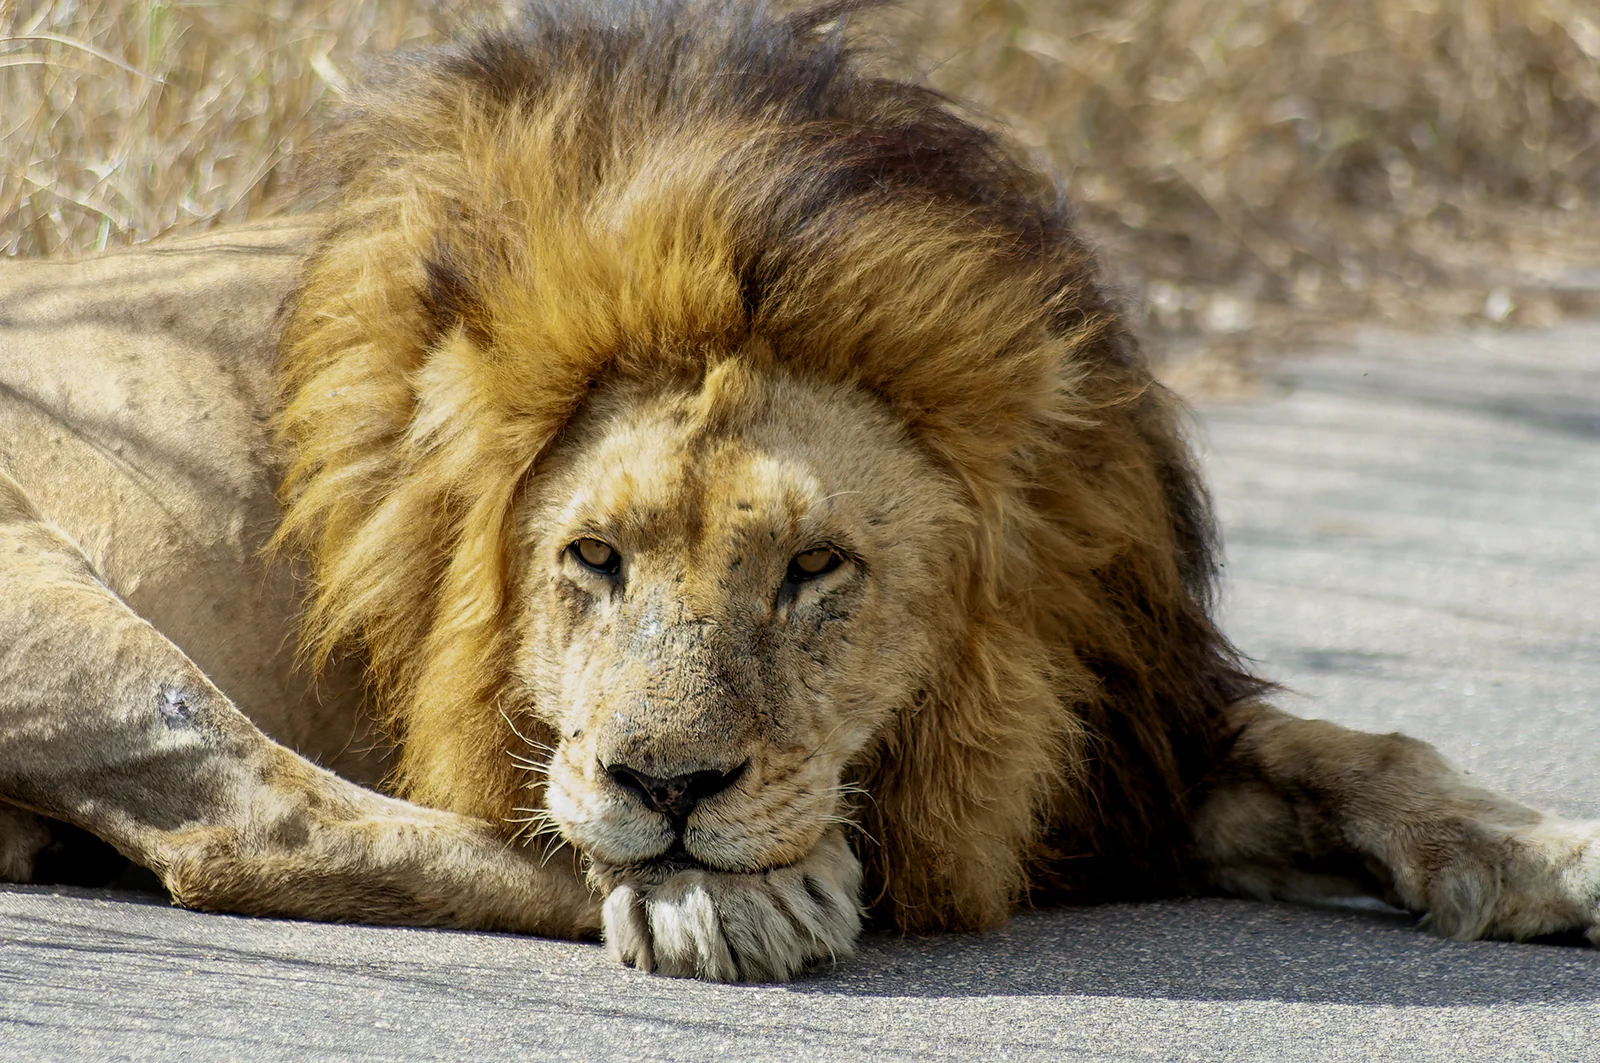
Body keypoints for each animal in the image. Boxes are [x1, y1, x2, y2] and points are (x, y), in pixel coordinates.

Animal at [2, 0, 1598, 982]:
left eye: (816, 568)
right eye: (591, 557)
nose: (667, 789)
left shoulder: (1111, 733)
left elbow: (1357, 749)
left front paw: (1546, 854)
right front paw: (720, 874)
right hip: (53, 602)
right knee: (258, 820)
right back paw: (736, 894)